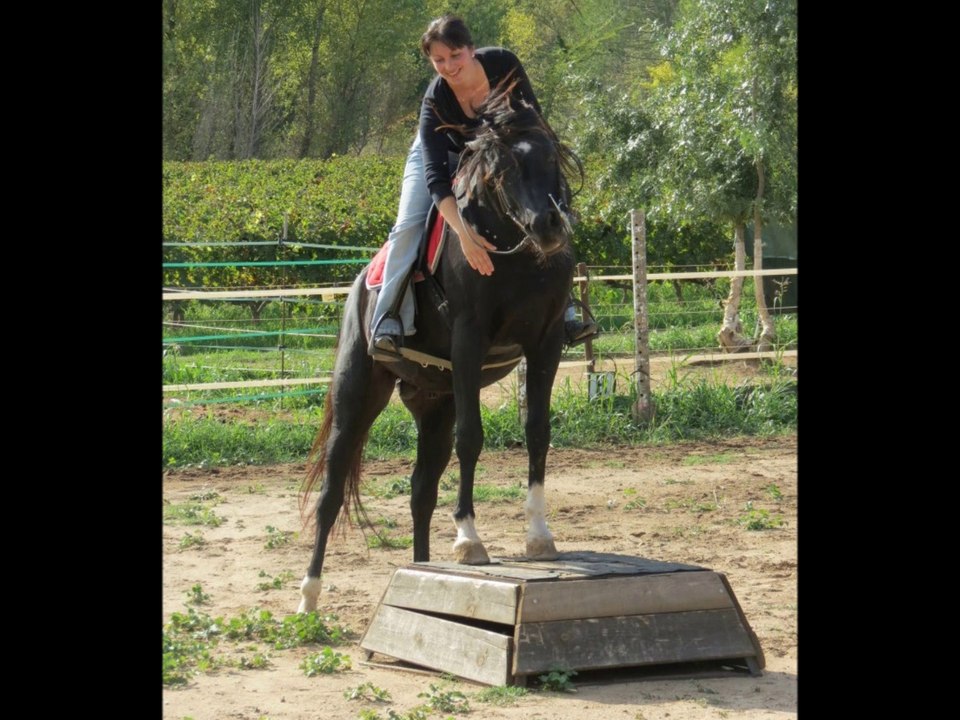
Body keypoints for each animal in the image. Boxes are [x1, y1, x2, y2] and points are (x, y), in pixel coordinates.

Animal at [297, 83, 583, 613]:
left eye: (550, 154)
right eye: (504, 167)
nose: (549, 227)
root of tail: (358, 287)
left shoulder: (548, 342)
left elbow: (537, 431)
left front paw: (538, 534)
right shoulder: (470, 340)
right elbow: (472, 437)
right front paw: (469, 540)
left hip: (434, 405)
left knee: (420, 493)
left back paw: (421, 571)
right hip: (357, 397)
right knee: (331, 492)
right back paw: (307, 600)